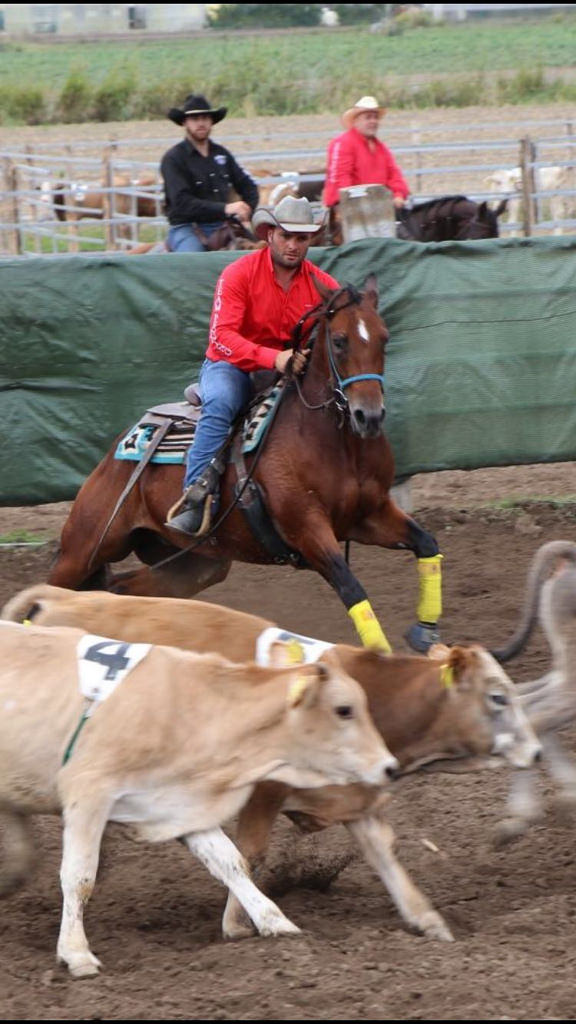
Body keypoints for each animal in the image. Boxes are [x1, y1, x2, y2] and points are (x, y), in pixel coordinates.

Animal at [0, 618, 393, 978]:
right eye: (344, 709)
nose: (389, 766)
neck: (189, 709)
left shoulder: (181, 804)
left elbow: (230, 863)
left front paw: (276, 922)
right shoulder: (88, 792)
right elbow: (79, 877)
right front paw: (76, 953)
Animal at [1, 585, 537, 942]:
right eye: (497, 697)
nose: (534, 751)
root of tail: (56, 596)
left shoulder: (356, 795)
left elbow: (383, 853)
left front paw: (426, 919)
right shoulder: (264, 792)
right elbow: (250, 854)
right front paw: (239, 923)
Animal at [48, 276, 444, 651]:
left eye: (384, 338)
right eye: (340, 340)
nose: (369, 417)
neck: (337, 444)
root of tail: (119, 448)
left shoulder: (369, 514)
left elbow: (427, 544)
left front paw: (424, 633)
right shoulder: (306, 527)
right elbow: (351, 586)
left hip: (194, 562)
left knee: (121, 589)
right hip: (85, 547)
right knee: (54, 591)